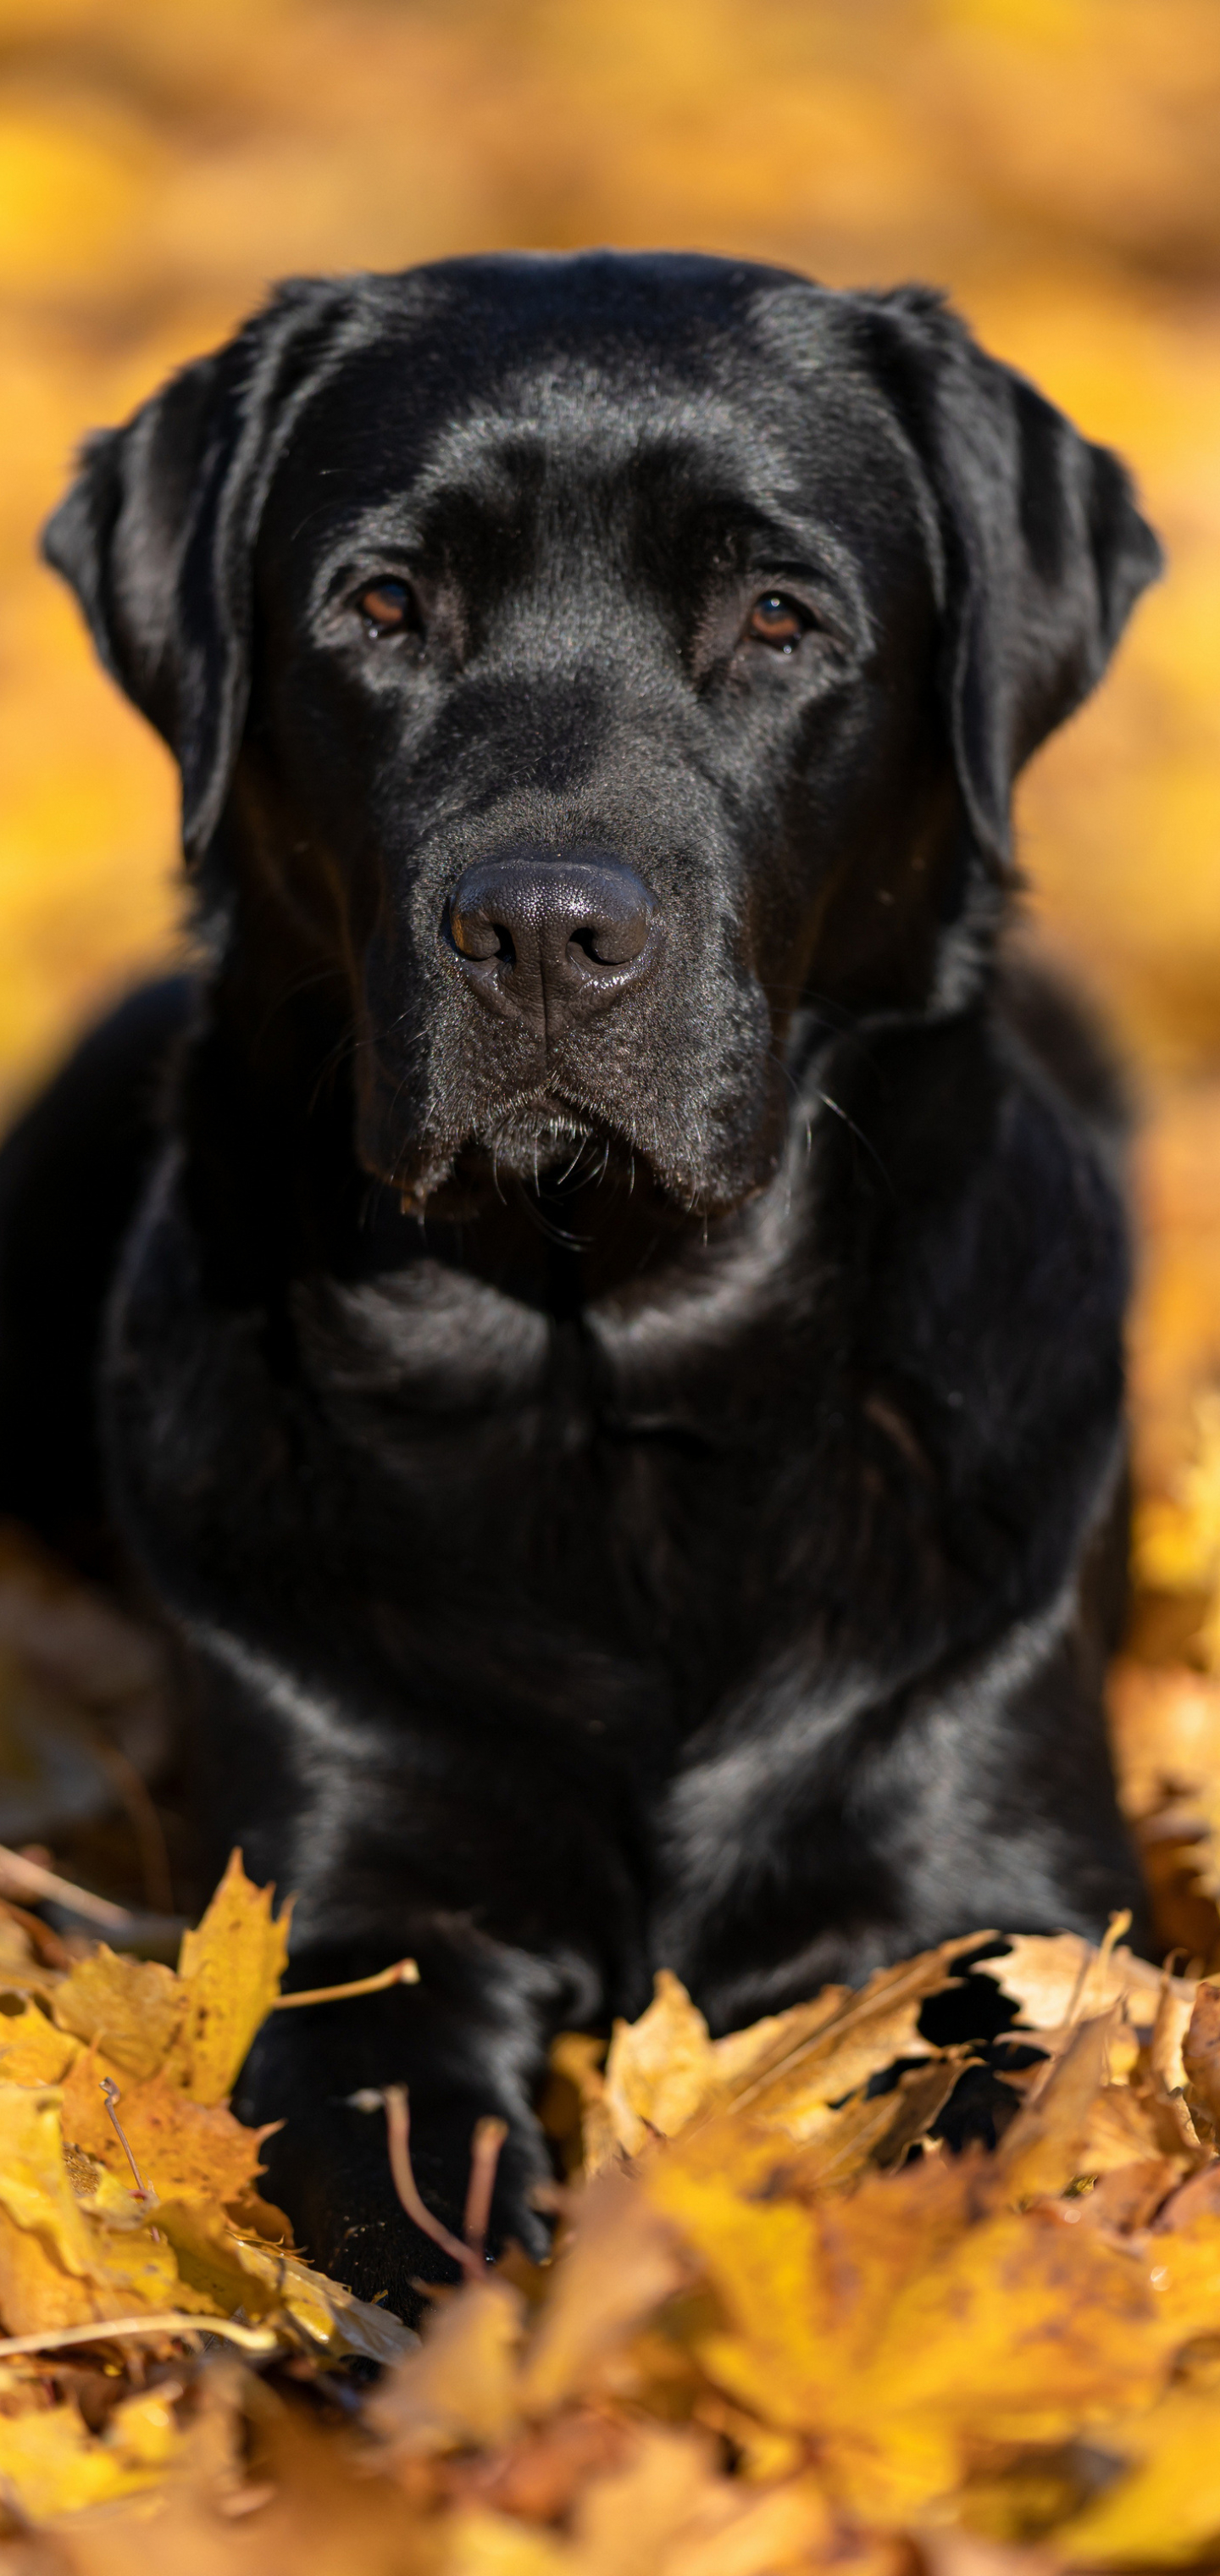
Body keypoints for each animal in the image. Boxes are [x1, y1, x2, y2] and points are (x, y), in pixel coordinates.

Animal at [0, 256, 1163, 2318]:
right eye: (383, 604)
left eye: (777, 615)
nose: (543, 927)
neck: (604, 1366)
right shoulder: (351, 1910)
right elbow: (390, 2195)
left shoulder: (997, 1891)